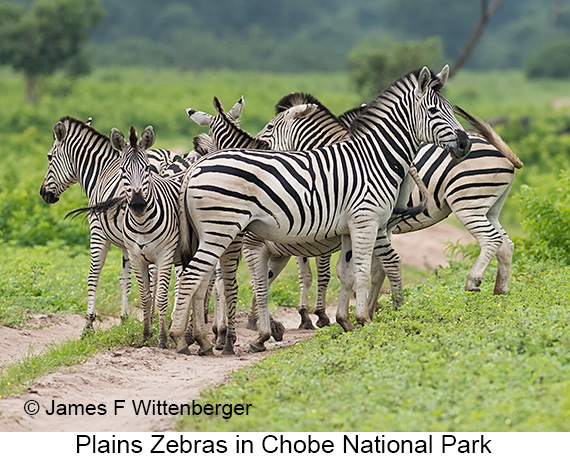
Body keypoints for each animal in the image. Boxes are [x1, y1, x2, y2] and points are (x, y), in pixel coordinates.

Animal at [38, 116, 189, 334]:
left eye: (49, 157)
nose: (43, 194)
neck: (101, 171)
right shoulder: (128, 242)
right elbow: (125, 279)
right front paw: (124, 319)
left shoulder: (98, 232)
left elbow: (94, 274)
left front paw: (88, 324)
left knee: (158, 273)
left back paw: (158, 319)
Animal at [170, 66, 470, 354]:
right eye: (433, 111)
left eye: (451, 109)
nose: (465, 143)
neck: (374, 158)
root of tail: (196, 166)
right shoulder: (366, 222)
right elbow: (360, 271)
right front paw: (364, 320)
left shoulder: (349, 229)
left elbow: (346, 273)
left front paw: (345, 321)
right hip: (221, 230)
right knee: (193, 277)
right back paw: (182, 338)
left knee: (199, 279)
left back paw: (200, 339)